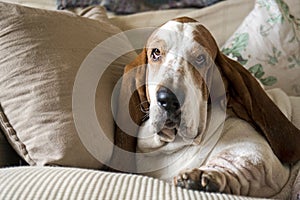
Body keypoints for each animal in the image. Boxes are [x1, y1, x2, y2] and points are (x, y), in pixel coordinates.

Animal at [111, 17, 300, 198]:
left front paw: (202, 177)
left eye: (200, 58)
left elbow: (234, 164)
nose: (168, 99)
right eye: (156, 53)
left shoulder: (261, 158)